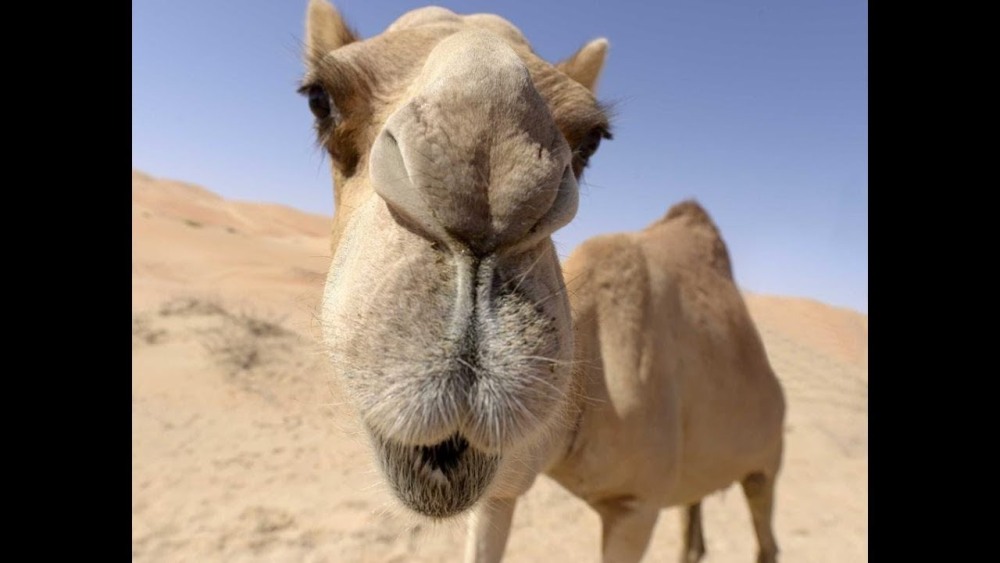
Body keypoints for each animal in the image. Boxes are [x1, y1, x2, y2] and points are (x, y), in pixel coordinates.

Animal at [300, 2, 785, 562]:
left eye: (592, 139)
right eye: (320, 100)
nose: (485, 190)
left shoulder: (636, 503)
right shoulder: (502, 487)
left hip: (767, 460)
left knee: (765, 531)